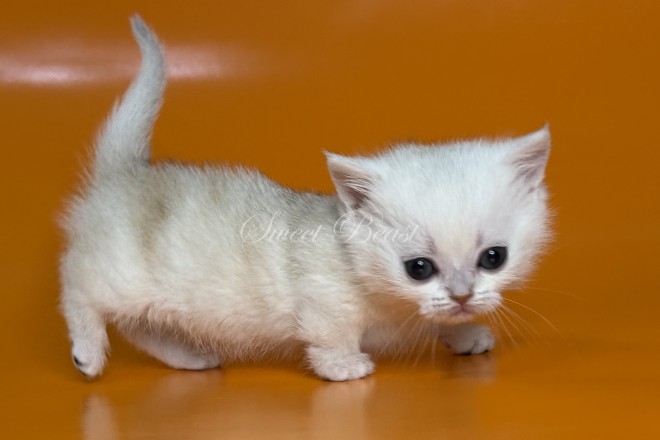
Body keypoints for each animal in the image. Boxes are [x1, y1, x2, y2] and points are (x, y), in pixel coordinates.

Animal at [59, 15, 552, 382]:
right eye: (418, 268)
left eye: (494, 258)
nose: (463, 295)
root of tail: (126, 169)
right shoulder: (323, 302)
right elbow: (329, 335)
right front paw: (344, 366)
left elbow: (435, 320)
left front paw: (465, 333)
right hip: (117, 275)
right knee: (77, 287)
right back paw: (88, 353)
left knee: (139, 326)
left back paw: (189, 357)